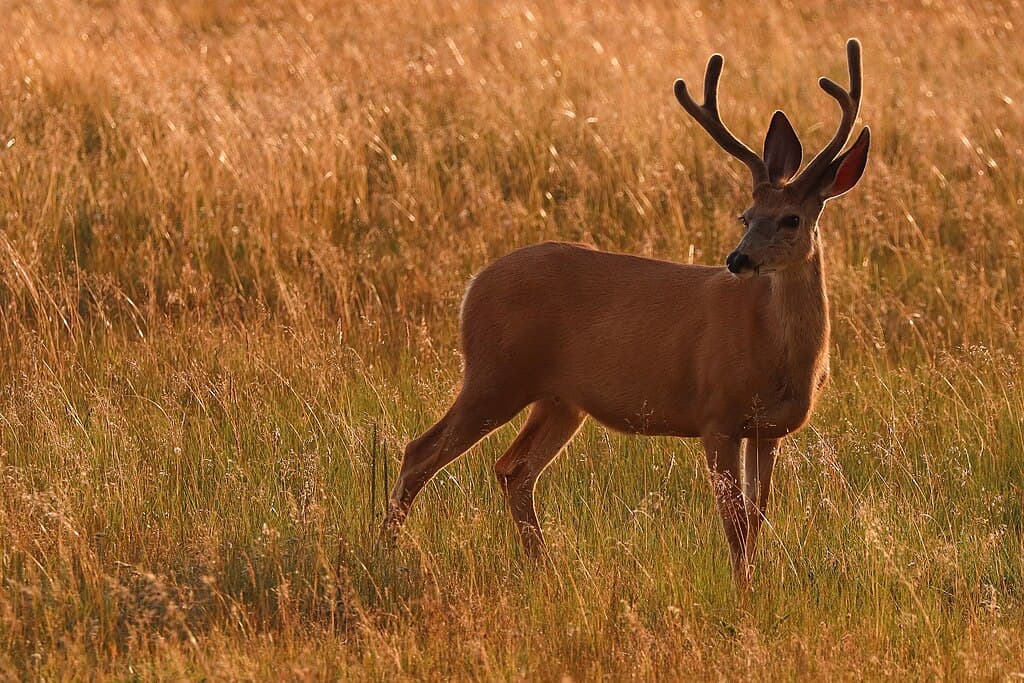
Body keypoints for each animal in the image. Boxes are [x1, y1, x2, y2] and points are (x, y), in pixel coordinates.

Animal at [383, 39, 870, 588]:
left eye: (791, 219)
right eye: (745, 216)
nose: (738, 260)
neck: (778, 353)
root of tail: (472, 286)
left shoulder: (770, 430)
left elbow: (757, 515)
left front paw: (752, 584)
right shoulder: (717, 412)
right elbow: (734, 519)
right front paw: (742, 591)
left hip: (559, 399)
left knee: (513, 469)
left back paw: (545, 569)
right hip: (495, 374)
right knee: (421, 452)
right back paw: (386, 551)